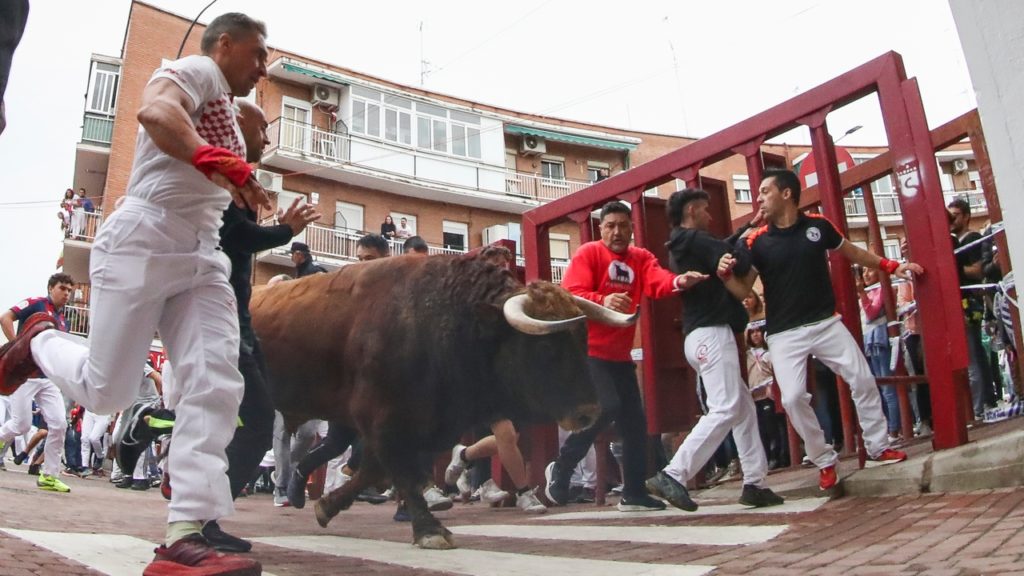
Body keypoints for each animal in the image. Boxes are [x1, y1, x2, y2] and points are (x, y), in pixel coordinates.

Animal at [248, 251, 630, 545]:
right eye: (546, 347)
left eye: (584, 340)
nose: (589, 412)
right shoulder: (383, 420)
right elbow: (398, 472)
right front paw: (430, 529)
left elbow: (376, 470)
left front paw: (327, 506)